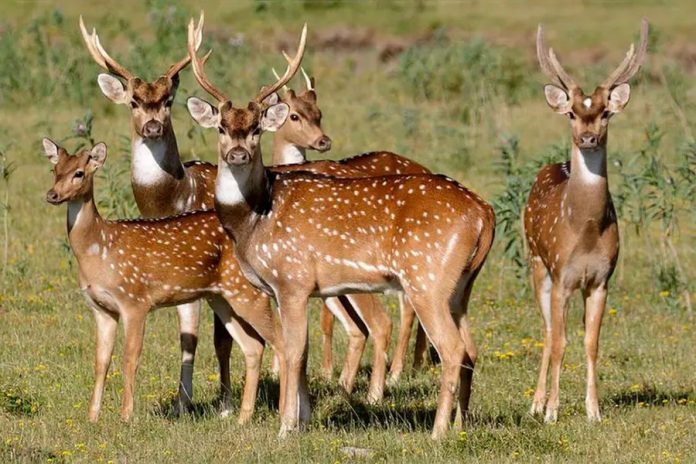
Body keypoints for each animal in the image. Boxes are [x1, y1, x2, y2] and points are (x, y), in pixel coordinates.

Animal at [42, 138, 285, 424]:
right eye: (54, 170)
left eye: (79, 173)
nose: (52, 195)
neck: (99, 248)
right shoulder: (100, 309)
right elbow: (101, 361)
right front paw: (92, 418)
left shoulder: (134, 300)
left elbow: (130, 358)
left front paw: (126, 416)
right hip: (222, 297)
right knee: (254, 346)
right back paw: (243, 418)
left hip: (248, 291)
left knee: (281, 342)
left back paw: (284, 416)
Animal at [268, 60, 433, 384]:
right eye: (294, 115)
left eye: (319, 113)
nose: (323, 140)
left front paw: (325, 371)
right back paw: (417, 362)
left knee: (408, 304)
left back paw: (396, 372)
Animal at [525, 20, 648, 423]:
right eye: (571, 113)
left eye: (606, 113)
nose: (589, 137)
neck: (586, 231)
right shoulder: (562, 277)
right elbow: (561, 342)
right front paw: (552, 411)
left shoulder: (600, 281)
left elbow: (591, 343)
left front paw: (594, 411)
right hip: (537, 263)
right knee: (547, 331)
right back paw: (535, 403)